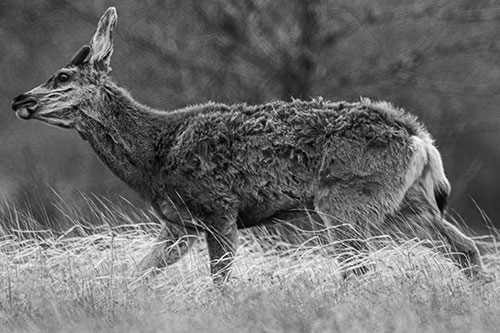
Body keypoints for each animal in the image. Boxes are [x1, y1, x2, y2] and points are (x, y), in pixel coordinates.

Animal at [10, 7, 488, 282]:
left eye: (63, 77)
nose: (18, 99)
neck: (154, 155)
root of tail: (420, 139)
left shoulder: (217, 210)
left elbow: (220, 284)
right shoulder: (178, 225)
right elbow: (136, 276)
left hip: (346, 203)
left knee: (361, 271)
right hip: (407, 204)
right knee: (466, 251)